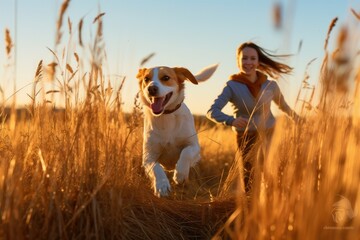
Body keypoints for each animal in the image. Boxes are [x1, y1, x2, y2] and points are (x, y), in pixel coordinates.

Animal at [136, 63, 218, 197]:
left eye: (166, 77)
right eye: (146, 79)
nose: (151, 89)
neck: (166, 116)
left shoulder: (194, 146)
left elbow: (186, 153)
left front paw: (180, 174)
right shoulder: (148, 157)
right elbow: (156, 167)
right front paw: (162, 186)